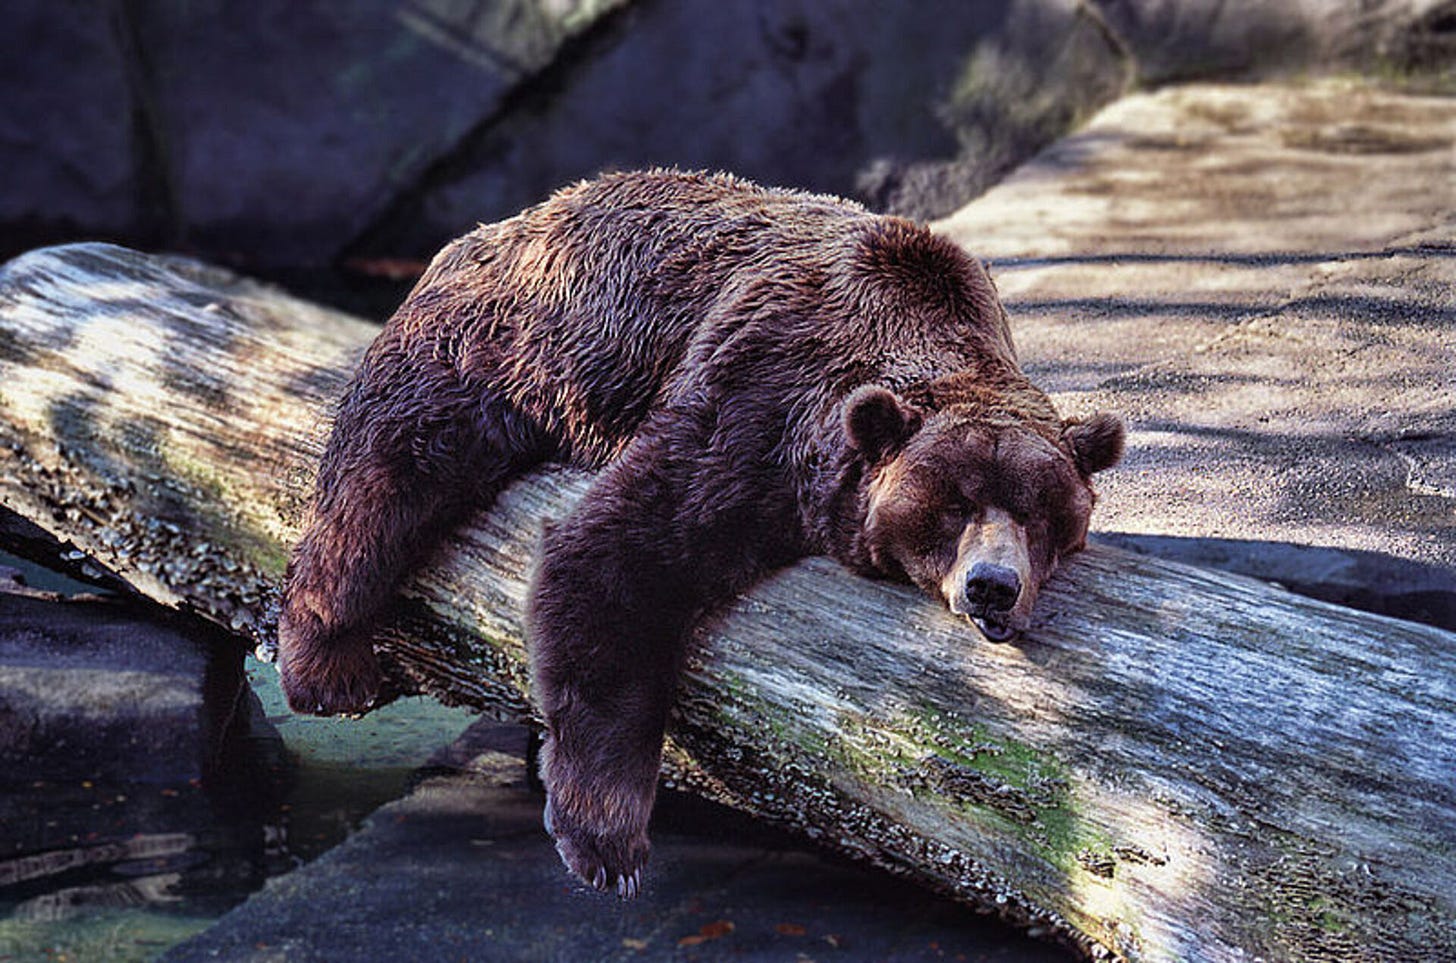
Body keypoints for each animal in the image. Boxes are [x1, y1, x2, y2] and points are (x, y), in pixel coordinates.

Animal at [276, 168, 1123, 899]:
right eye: (952, 504)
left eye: (1040, 512)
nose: (993, 585)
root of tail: (501, 224)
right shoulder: (760, 397)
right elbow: (619, 553)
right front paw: (608, 842)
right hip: (489, 348)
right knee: (388, 471)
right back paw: (327, 661)